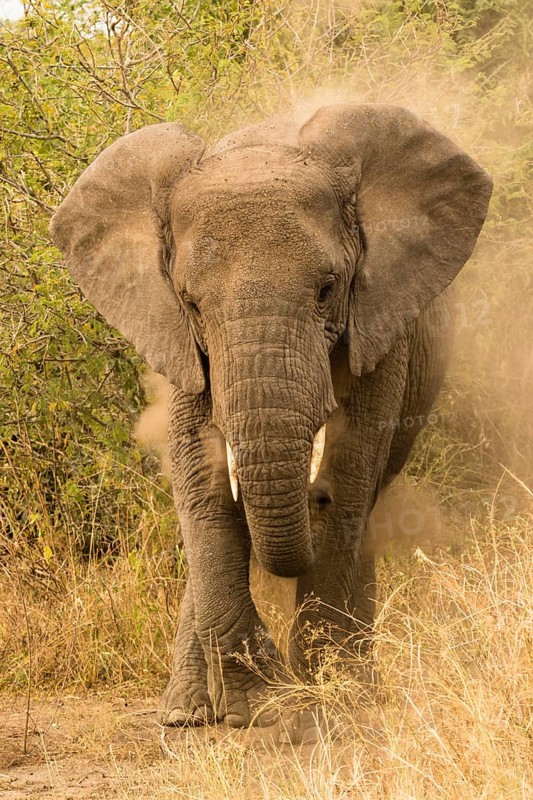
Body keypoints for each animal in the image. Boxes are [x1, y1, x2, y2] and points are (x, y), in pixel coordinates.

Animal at [50, 103, 492, 730]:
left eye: (328, 289)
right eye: (190, 303)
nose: (313, 495)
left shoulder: (381, 327)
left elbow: (353, 470)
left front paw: (323, 704)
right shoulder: (184, 345)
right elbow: (202, 481)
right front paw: (260, 708)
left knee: (367, 498)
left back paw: (356, 684)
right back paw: (186, 713)